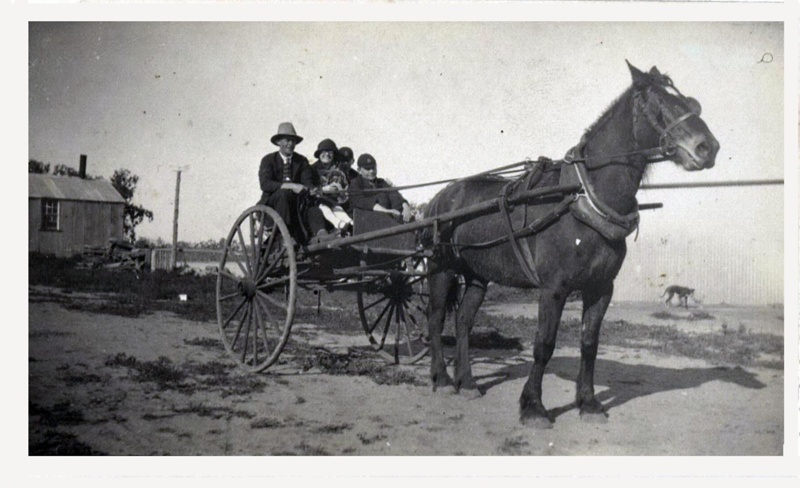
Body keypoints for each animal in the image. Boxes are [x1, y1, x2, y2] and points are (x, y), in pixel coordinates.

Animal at [424, 62, 720, 428]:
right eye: (655, 102)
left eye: (690, 103)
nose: (708, 148)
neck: (580, 199)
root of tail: (439, 198)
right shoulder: (554, 287)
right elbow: (544, 344)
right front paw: (533, 407)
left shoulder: (601, 287)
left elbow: (589, 343)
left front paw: (589, 403)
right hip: (442, 269)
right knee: (436, 318)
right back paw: (442, 379)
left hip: (478, 274)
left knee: (464, 321)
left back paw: (466, 382)